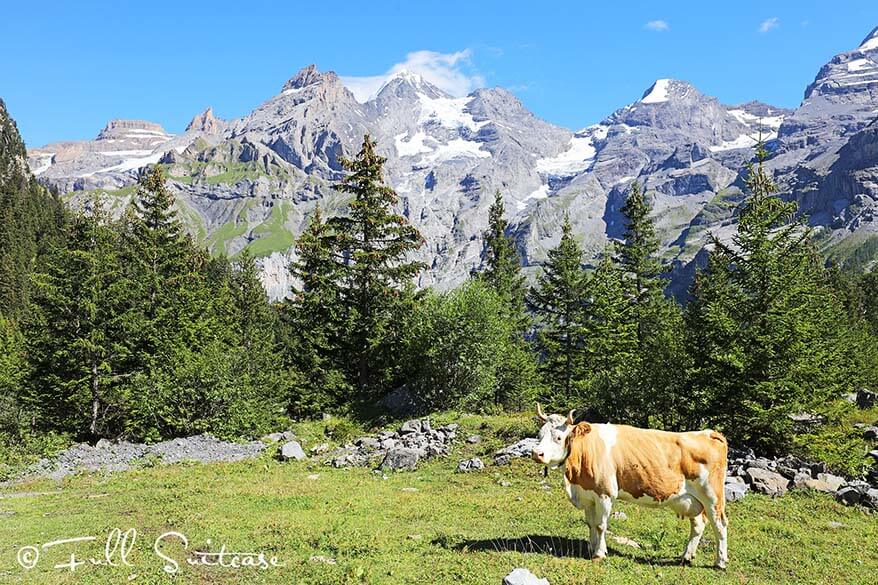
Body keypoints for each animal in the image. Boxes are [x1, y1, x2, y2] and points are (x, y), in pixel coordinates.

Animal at [532, 404, 732, 568]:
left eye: (559, 437)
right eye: (539, 435)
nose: (536, 453)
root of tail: (709, 433)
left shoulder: (605, 493)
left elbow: (601, 525)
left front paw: (599, 554)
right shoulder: (587, 495)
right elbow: (591, 524)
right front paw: (592, 547)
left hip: (712, 496)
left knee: (720, 524)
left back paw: (720, 562)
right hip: (690, 499)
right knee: (698, 524)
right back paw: (686, 556)